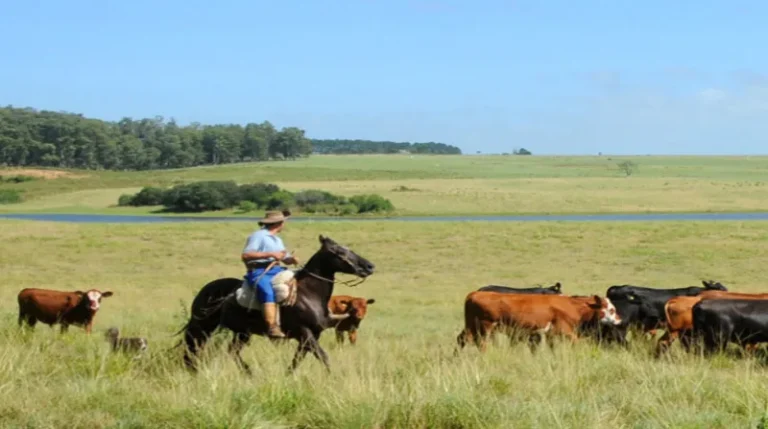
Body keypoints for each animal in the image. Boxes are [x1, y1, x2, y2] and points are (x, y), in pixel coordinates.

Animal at [178, 236, 376, 372]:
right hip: (203, 328)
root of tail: (206, 290)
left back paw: (248, 374)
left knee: (229, 352)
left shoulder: (310, 336)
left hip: (242, 333)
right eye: (339, 252)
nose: (369, 266)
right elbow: (323, 356)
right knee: (193, 351)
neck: (308, 294)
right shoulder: (305, 333)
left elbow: (297, 361)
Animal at [452, 290, 620, 352]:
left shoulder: (551, 334)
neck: (571, 305)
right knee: (481, 344)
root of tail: (475, 293)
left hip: (471, 326)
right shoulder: (565, 330)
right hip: (484, 327)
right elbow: (575, 342)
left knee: (461, 339)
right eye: (611, 309)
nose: (619, 320)